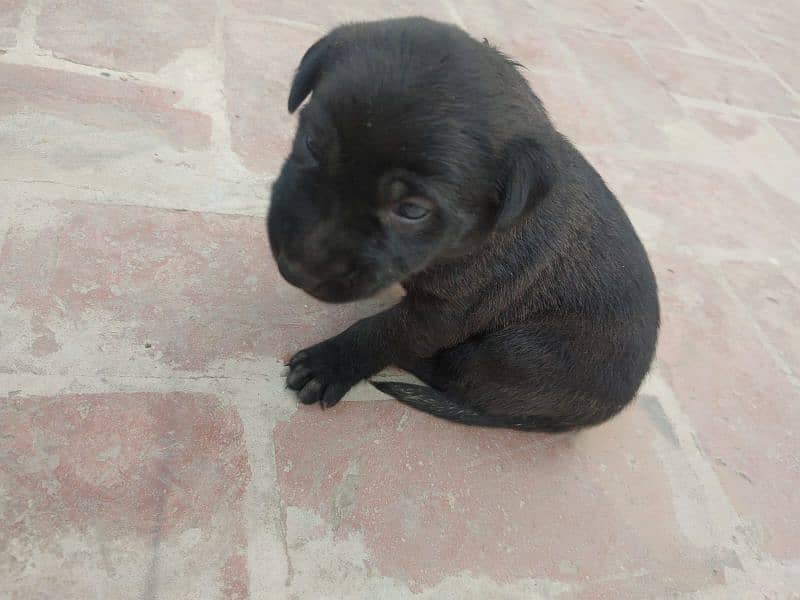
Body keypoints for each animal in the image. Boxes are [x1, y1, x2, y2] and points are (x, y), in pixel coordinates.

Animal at [266, 18, 660, 432]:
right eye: (311, 144)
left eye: (412, 210)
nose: (294, 268)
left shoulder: (448, 311)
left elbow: (383, 332)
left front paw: (331, 362)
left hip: (517, 352)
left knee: (459, 377)